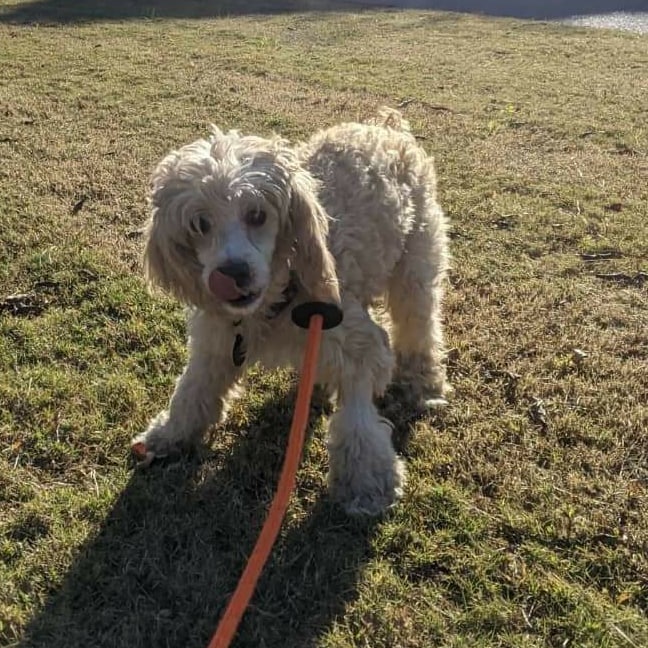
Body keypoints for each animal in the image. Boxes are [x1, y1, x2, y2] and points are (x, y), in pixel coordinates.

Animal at [134, 107, 448, 516]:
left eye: (257, 214)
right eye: (200, 223)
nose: (232, 274)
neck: (278, 300)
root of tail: (384, 127)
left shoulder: (357, 344)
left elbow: (357, 420)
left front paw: (366, 483)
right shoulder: (216, 343)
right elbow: (193, 390)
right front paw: (169, 435)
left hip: (416, 267)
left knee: (419, 327)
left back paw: (424, 382)